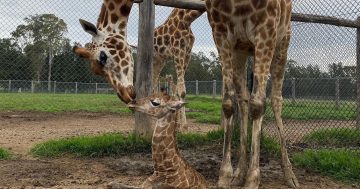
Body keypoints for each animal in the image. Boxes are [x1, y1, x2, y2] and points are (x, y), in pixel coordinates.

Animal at [205, 0, 300, 188]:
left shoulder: (266, 29)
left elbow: (258, 105)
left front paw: (253, 178)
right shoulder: (219, 32)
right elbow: (228, 103)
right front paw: (225, 174)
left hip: (282, 43)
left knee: (276, 99)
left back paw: (290, 174)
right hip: (242, 51)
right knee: (243, 99)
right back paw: (239, 173)